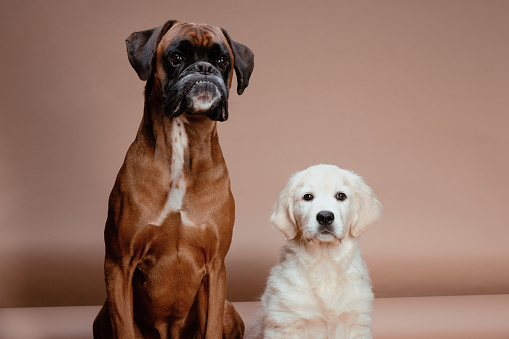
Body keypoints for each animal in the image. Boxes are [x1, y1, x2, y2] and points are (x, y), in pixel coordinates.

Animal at [92, 20, 253, 339]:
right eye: (176, 57)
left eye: (222, 60)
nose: (204, 68)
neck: (183, 141)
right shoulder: (118, 265)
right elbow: (124, 325)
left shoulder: (215, 268)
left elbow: (211, 327)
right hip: (103, 314)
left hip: (228, 309)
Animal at [246, 164, 380, 338]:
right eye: (307, 197)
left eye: (341, 195)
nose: (325, 217)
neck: (324, 262)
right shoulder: (285, 323)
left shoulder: (356, 323)